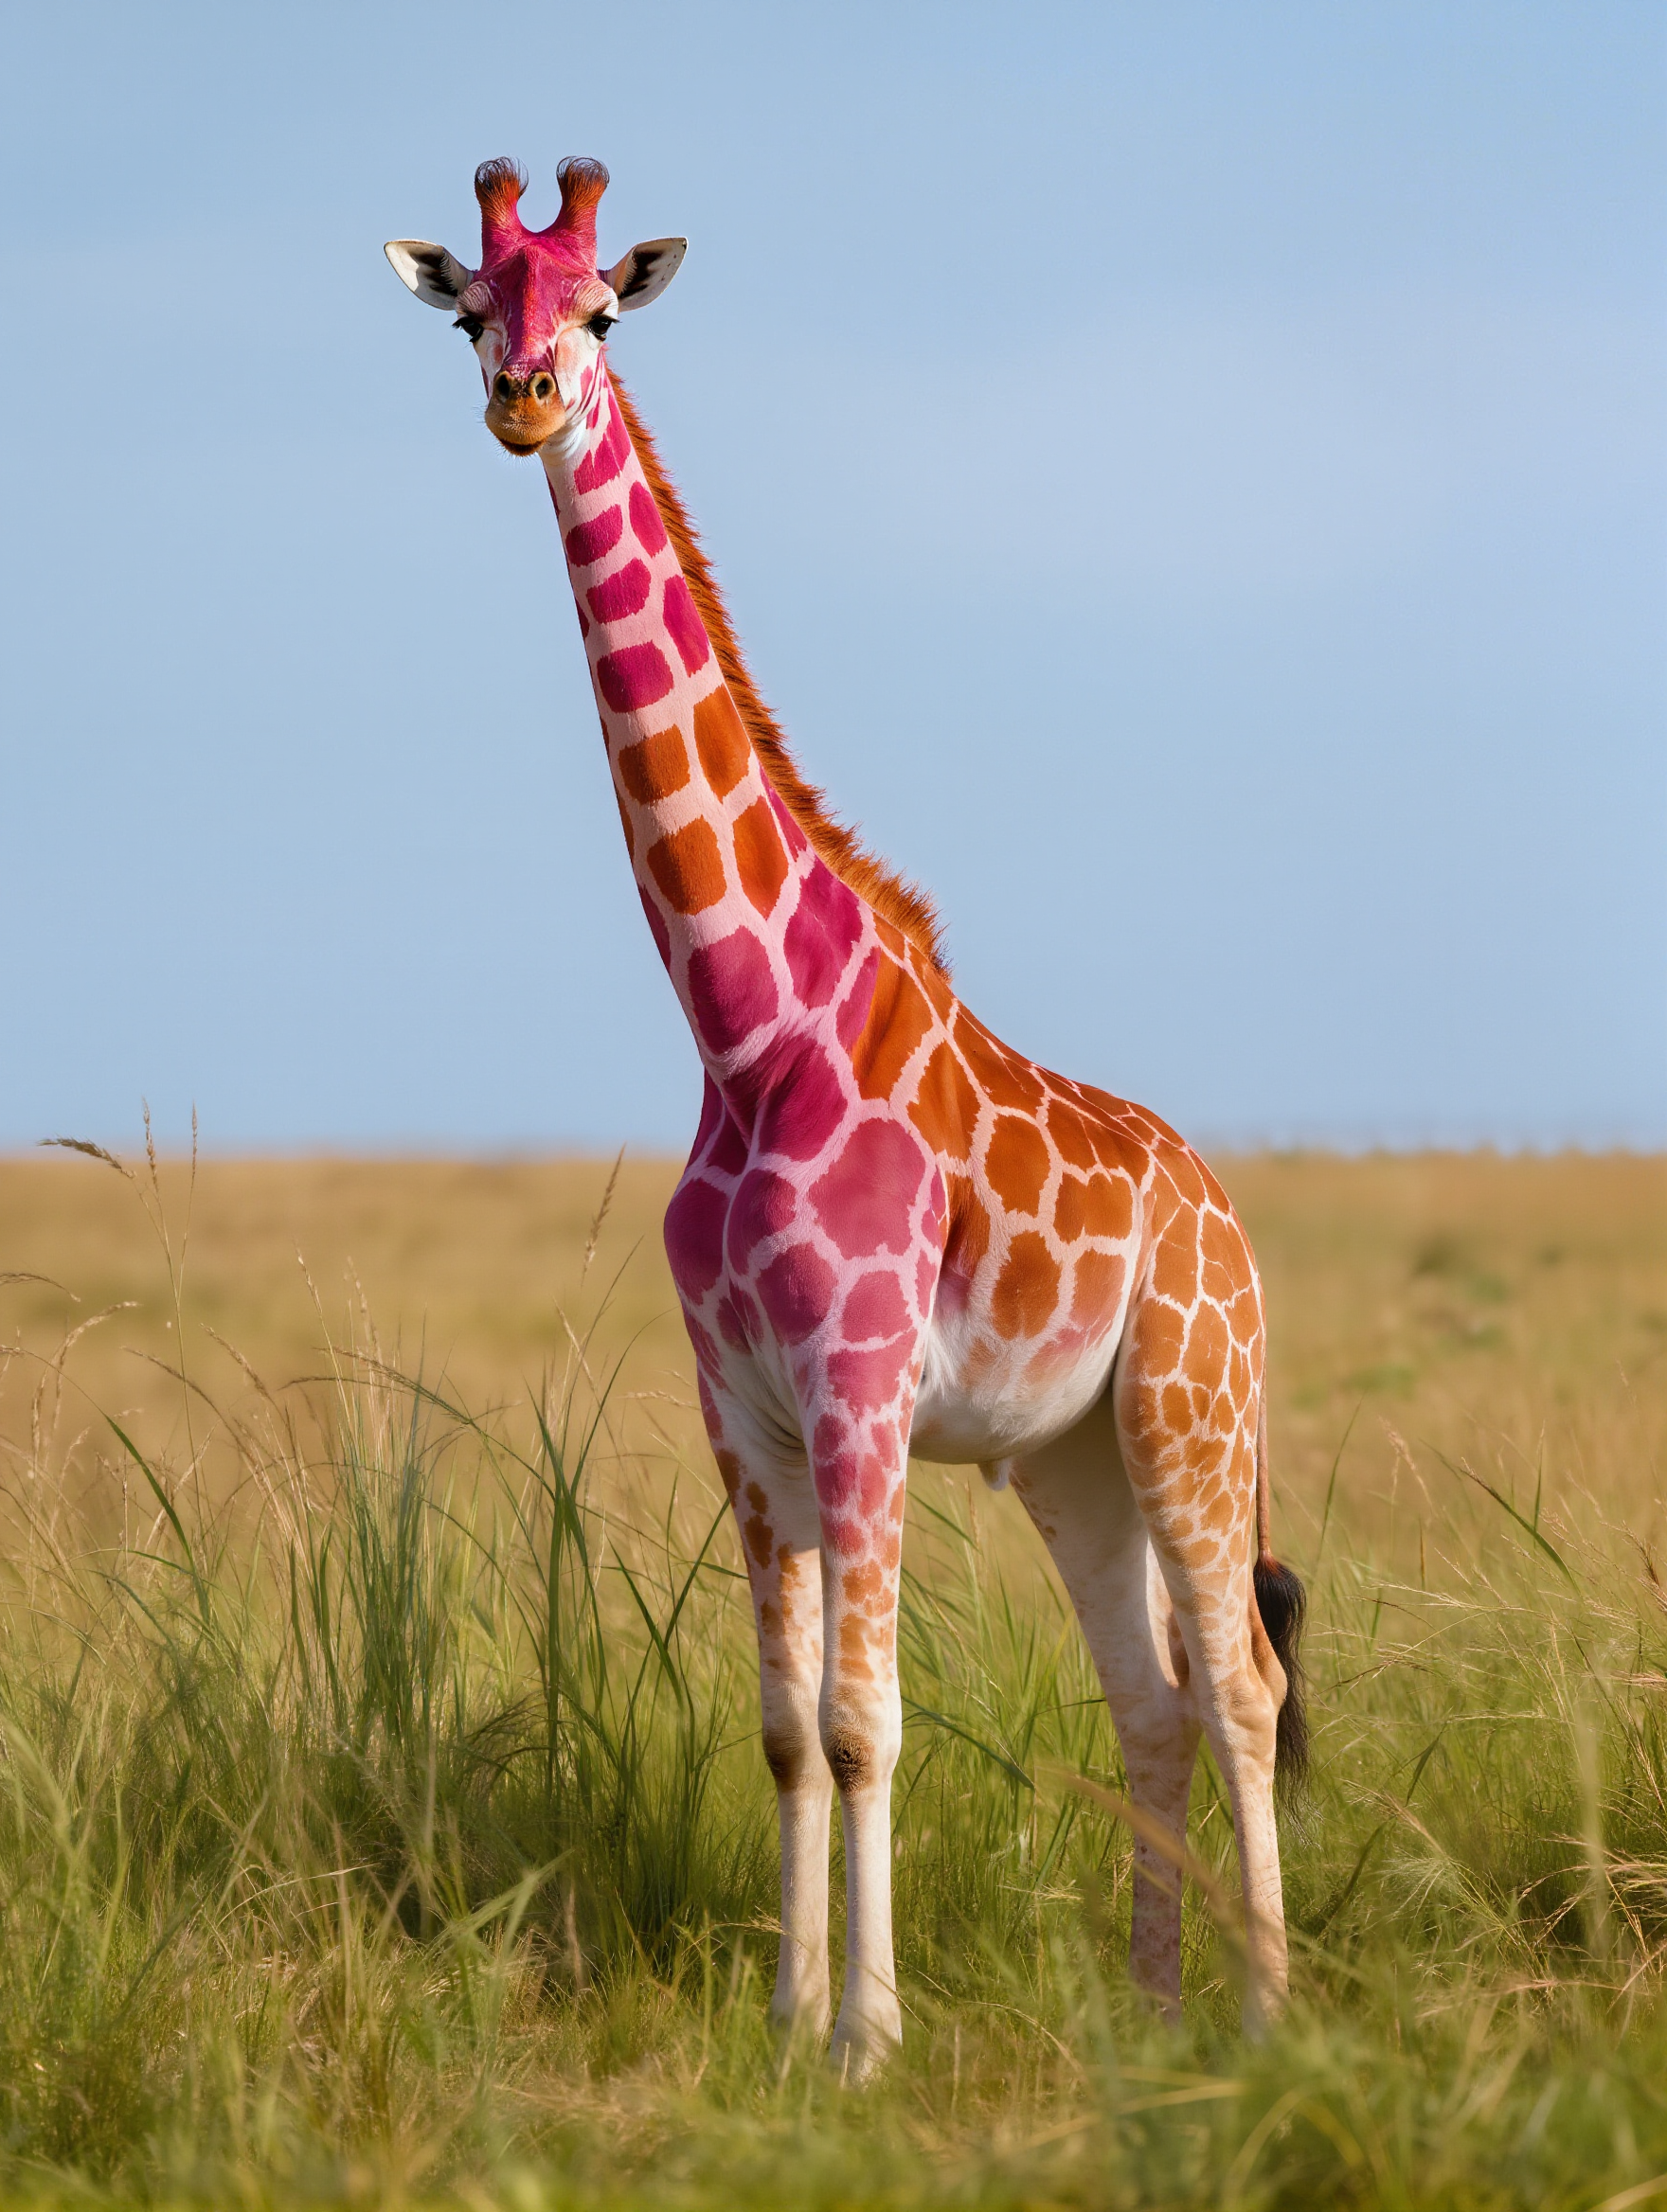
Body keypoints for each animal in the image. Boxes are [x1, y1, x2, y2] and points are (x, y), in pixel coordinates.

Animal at [387, 155, 1307, 2073]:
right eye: (469, 312)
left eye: (601, 308)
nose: (525, 400)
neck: (751, 1034)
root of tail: (1226, 1215)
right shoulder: (744, 1412)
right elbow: (788, 1726)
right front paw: (788, 2018)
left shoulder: (863, 1386)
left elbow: (873, 1718)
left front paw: (870, 2039)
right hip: (1070, 1455)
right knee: (1155, 1698)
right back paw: (1152, 2013)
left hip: (1193, 1411)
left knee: (1246, 1681)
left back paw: (1267, 2014)